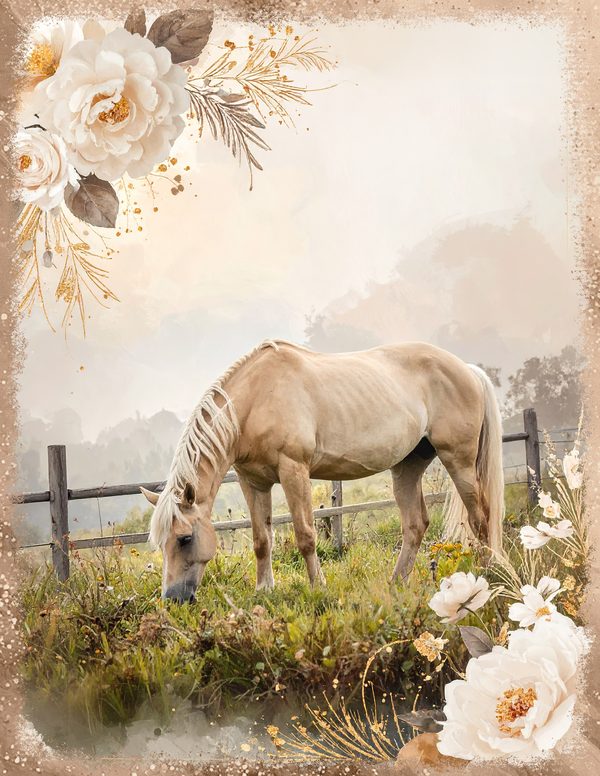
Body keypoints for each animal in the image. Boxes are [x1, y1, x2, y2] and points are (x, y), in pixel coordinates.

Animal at [141, 340, 504, 602]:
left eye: (185, 538)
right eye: (161, 543)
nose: (172, 599)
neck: (254, 402)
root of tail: (467, 370)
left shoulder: (294, 471)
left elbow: (305, 535)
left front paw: (318, 587)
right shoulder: (252, 481)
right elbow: (261, 539)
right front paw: (264, 590)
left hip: (458, 460)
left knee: (480, 518)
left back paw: (486, 576)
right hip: (407, 466)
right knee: (415, 525)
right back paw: (396, 583)